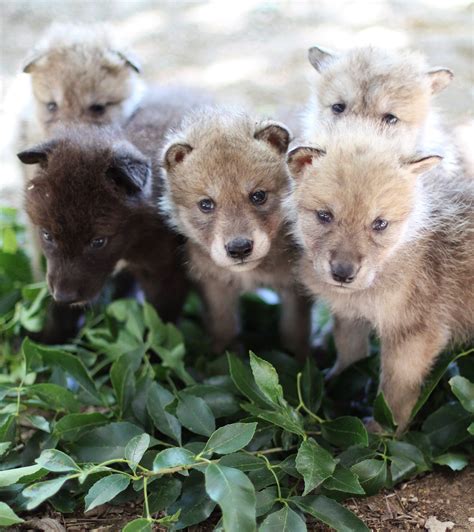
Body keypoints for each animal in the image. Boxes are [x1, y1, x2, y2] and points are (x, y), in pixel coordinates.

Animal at [16, 88, 204, 332]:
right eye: (47, 235)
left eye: (98, 241)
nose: (64, 296)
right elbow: (59, 314)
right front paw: (48, 337)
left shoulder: (166, 273)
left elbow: (159, 324)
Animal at [161, 107, 312, 358]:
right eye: (206, 204)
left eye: (258, 196)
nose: (239, 248)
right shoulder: (215, 285)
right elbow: (225, 327)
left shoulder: (294, 288)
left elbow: (295, 331)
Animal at [286, 122, 472, 430]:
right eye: (324, 216)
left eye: (380, 224)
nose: (343, 274)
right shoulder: (351, 314)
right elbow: (350, 354)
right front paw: (332, 383)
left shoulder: (413, 335)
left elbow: (395, 391)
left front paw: (383, 430)